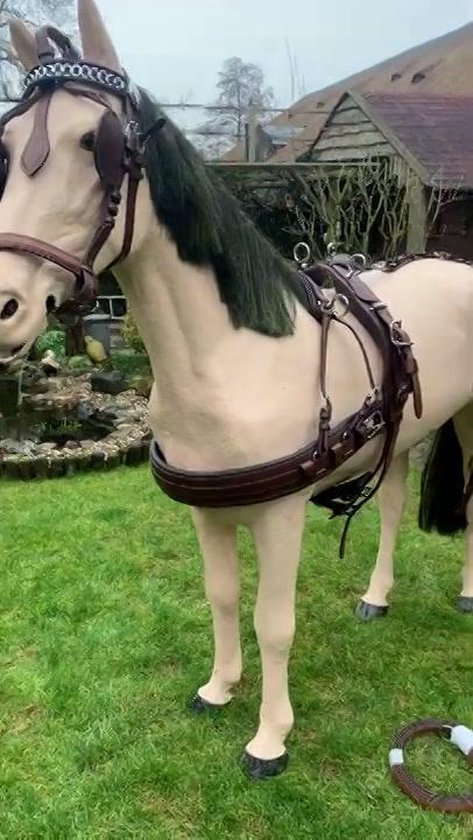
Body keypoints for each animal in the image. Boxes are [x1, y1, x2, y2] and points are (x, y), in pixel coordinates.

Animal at [0, 0, 472, 780]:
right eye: (7, 146)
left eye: (95, 142)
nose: (5, 305)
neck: (230, 357)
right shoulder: (207, 512)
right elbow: (221, 598)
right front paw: (220, 687)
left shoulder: (279, 517)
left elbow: (272, 622)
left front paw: (270, 737)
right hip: (400, 429)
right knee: (393, 505)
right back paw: (375, 596)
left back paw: (466, 594)